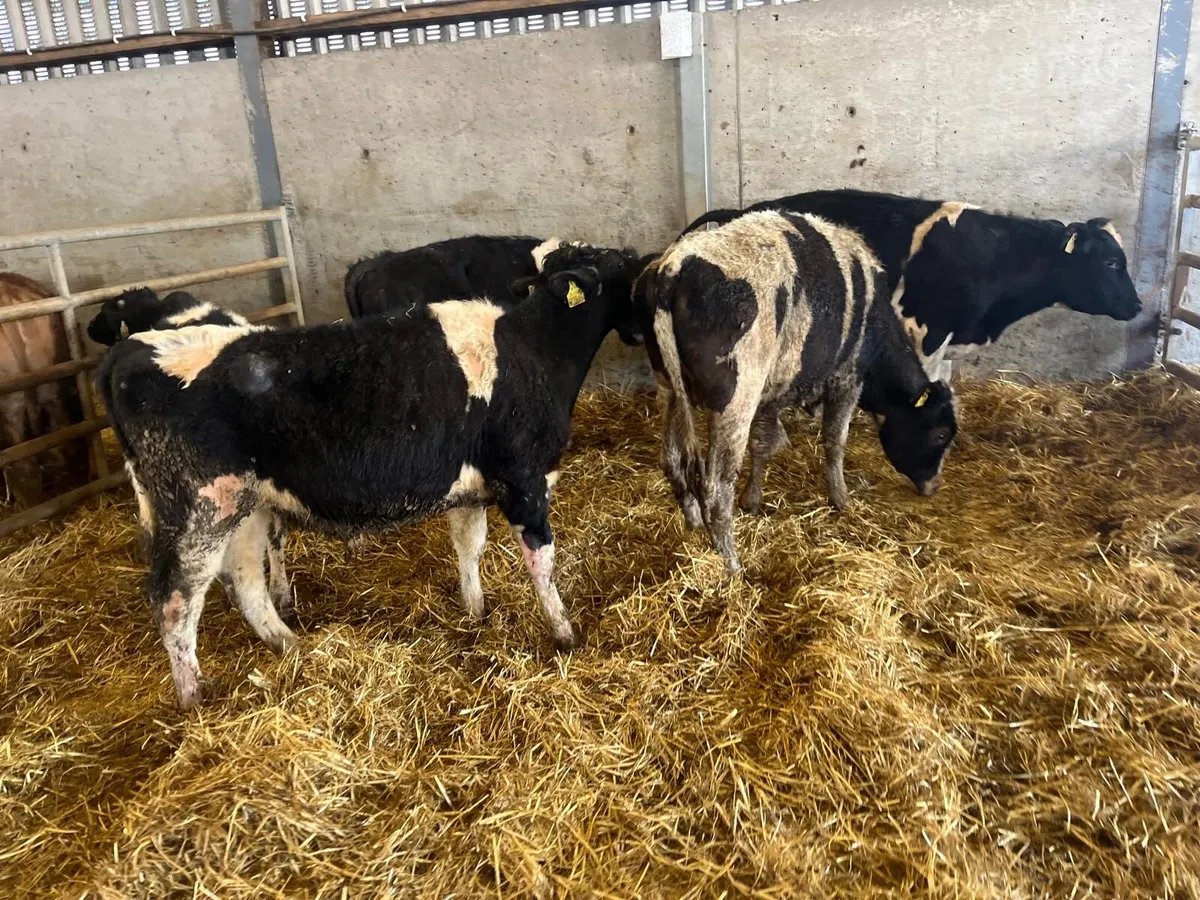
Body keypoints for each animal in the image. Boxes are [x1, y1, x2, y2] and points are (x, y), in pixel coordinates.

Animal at [96, 242, 645, 709]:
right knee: (175, 602)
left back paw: (290, 645)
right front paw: (565, 634)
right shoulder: (525, 479)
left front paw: (475, 613)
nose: (641, 331)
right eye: (630, 270)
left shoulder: (471, 488)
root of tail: (131, 350)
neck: (533, 347)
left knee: (245, 579)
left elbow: (469, 548)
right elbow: (543, 563)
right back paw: (194, 699)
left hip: (243, 504)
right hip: (197, 509)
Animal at [637, 211, 957, 574]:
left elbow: (763, 445)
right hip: (735, 402)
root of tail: (674, 265)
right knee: (717, 487)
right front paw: (841, 499)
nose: (934, 486)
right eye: (941, 434)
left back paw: (692, 522)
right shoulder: (846, 379)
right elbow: (834, 442)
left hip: (669, 390)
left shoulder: (770, 395)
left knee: (673, 461)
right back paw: (731, 563)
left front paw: (752, 499)